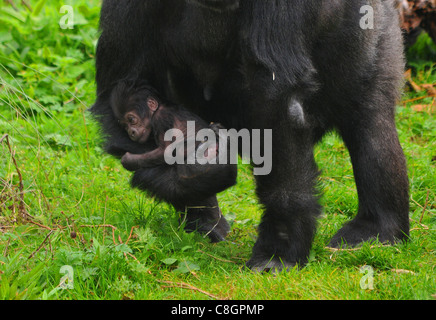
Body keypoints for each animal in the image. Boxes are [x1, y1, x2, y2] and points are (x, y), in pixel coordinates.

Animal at [91, 0, 408, 272]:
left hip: (378, 23)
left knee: (371, 124)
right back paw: (202, 219)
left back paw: (377, 228)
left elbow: (277, 100)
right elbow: (121, 83)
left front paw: (280, 246)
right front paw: (187, 179)